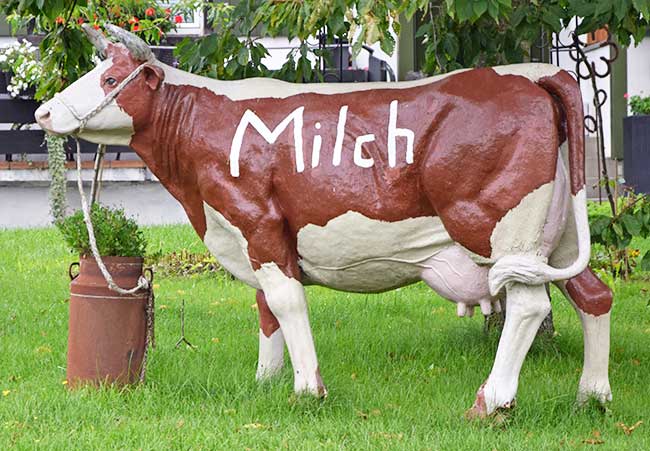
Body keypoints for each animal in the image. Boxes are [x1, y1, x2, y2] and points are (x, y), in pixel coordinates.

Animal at [35, 24, 612, 416]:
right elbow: (266, 309)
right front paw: (265, 383)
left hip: (502, 226)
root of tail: (533, 74)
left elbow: (287, 302)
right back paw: (592, 396)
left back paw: (491, 403)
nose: (42, 112)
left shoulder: (257, 221)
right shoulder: (247, 237)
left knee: (530, 305)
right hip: (557, 236)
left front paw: (307, 389)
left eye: (111, 77)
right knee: (593, 295)